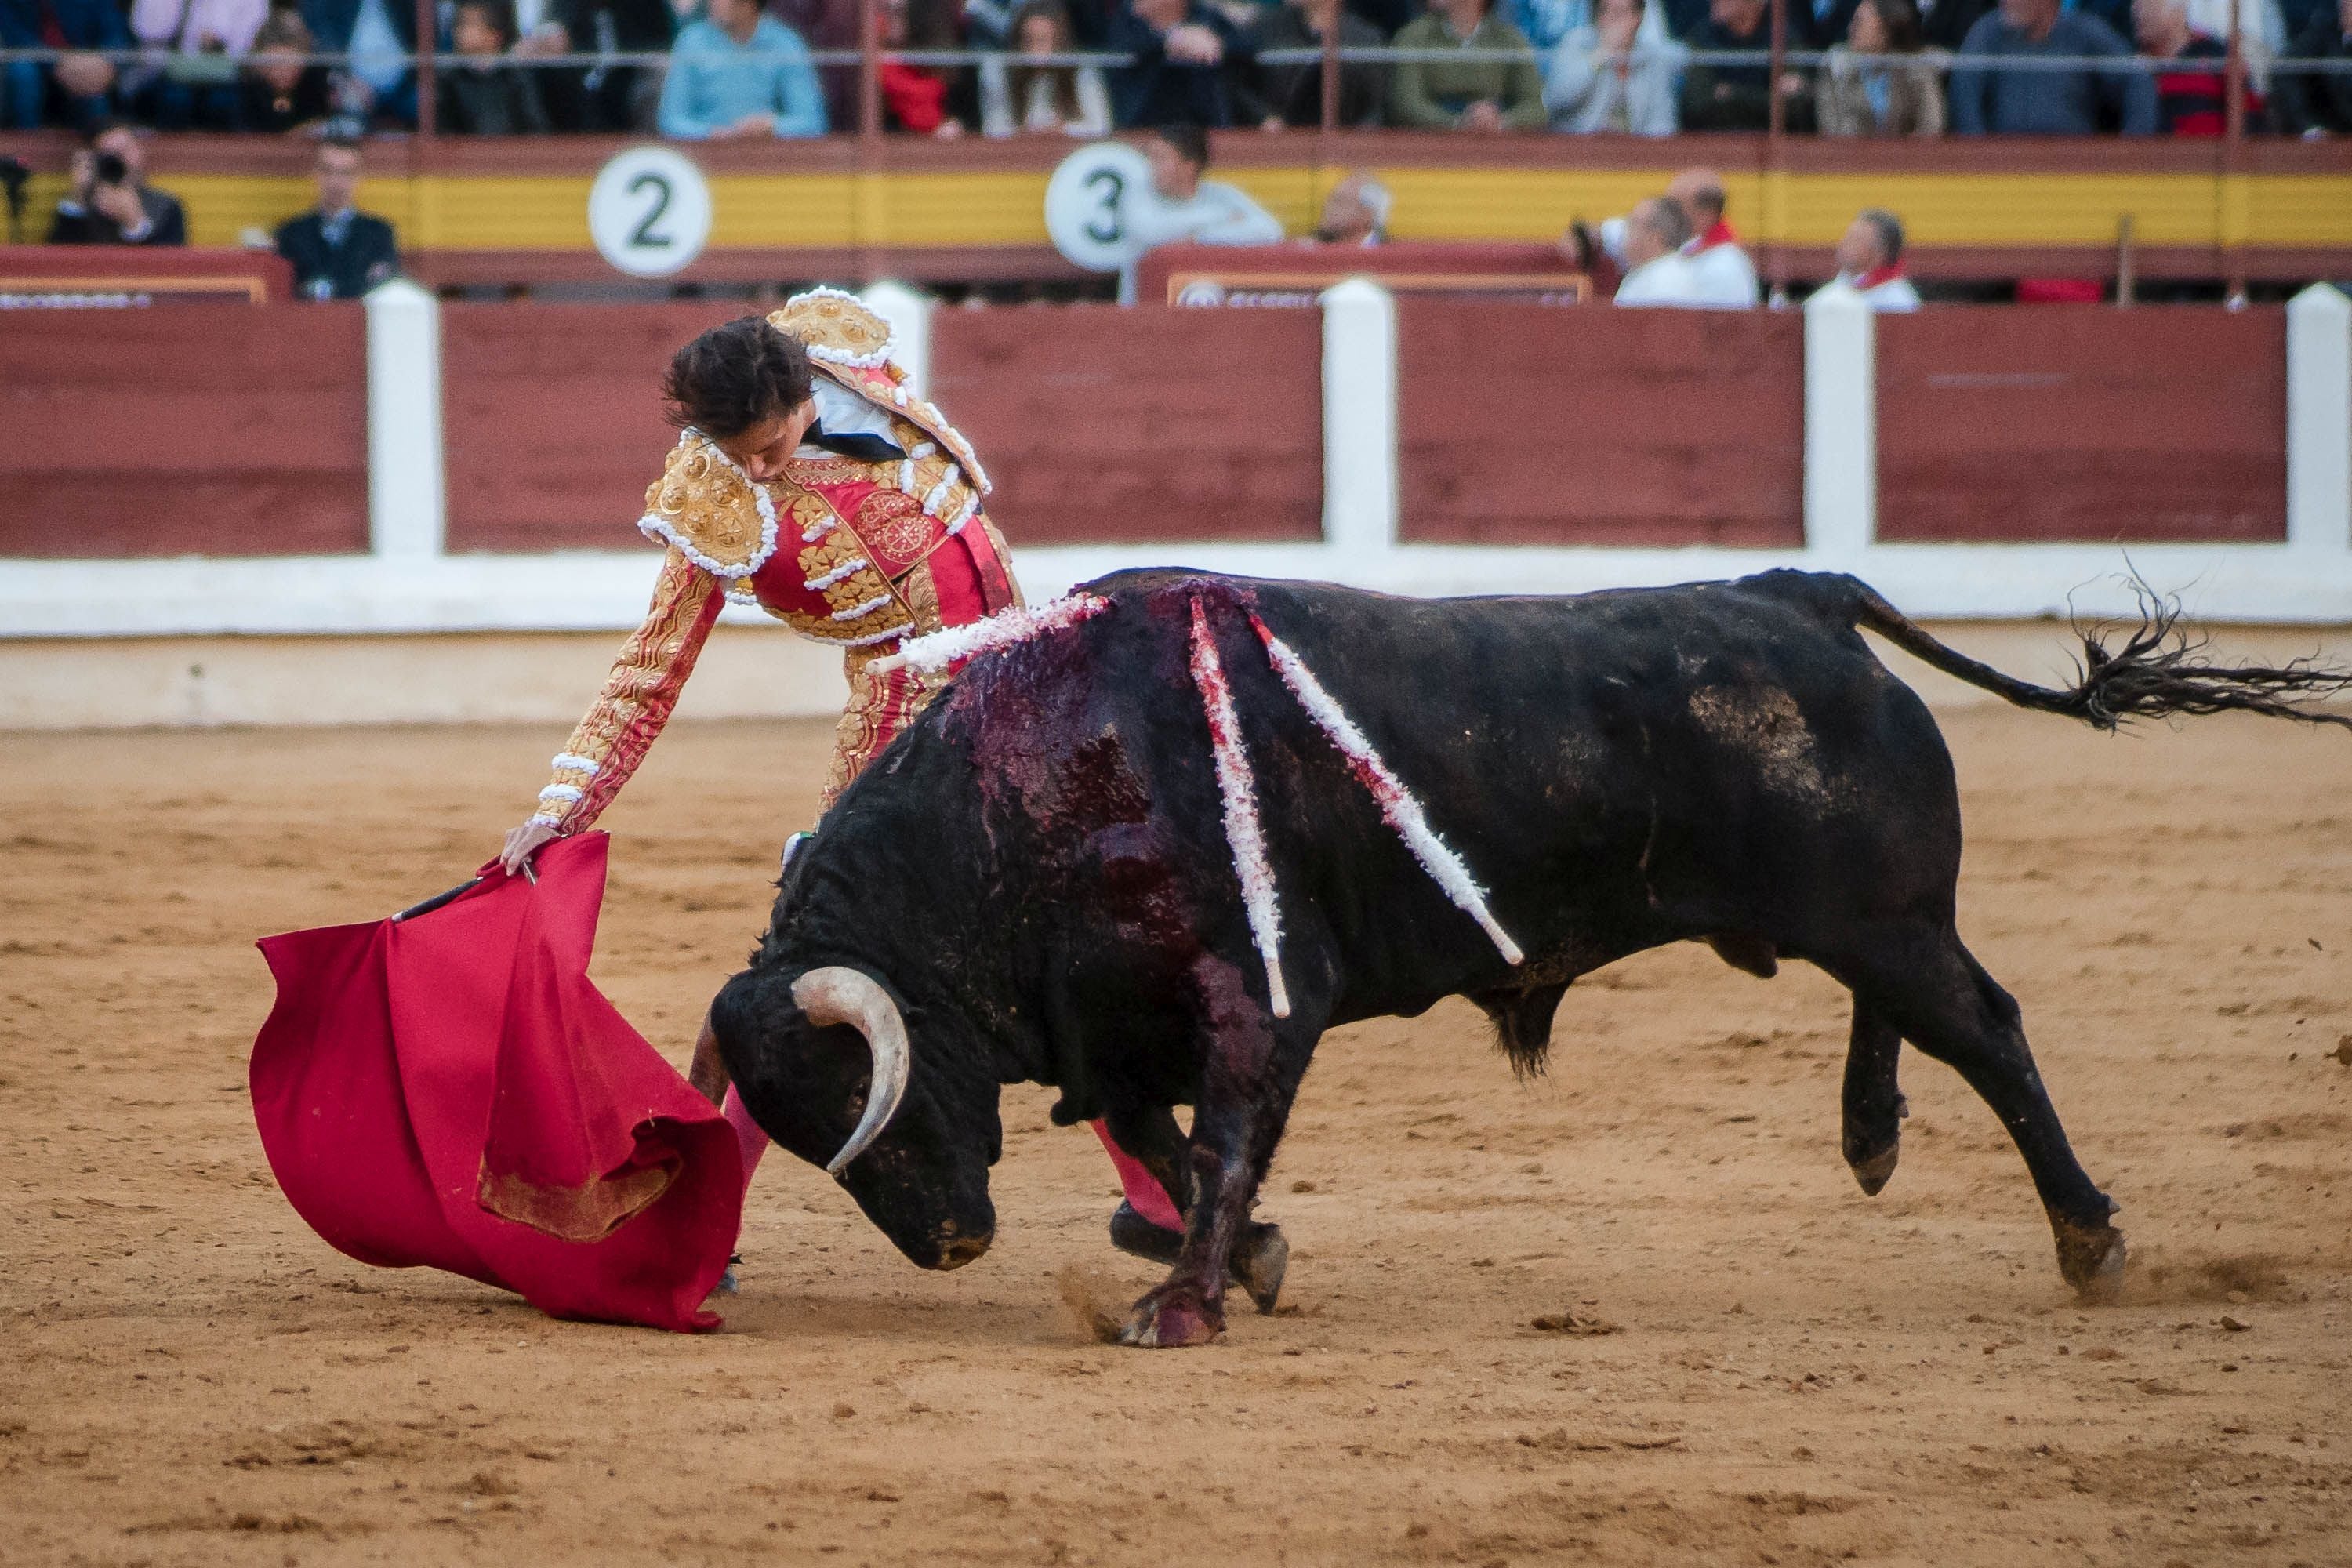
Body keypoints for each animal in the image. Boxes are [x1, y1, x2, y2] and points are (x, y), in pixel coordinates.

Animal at [706, 573, 2343, 1354]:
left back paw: (2089, 1242)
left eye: (869, 1107)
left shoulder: (1262, 1001)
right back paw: (1874, 1139)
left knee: (1986, 1029)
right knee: (1912, 1013)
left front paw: (1181, 1309)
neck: (1037, 786)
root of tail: (1802, 592)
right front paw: (1242, 1264)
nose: (950, 1248)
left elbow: (1218, 1145)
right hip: (1862, 918)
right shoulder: (1118, 1023)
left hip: (1884, 912)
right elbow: (1166, 1145)